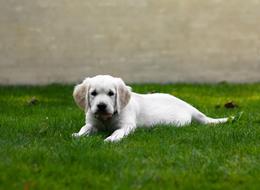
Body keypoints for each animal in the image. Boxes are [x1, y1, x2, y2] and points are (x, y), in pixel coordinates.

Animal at [71, 75, 230, 142]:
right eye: (93, 93)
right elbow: (85, 128)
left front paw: (112, 138)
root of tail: (188, 106)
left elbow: (118, 131)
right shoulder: (92, 123)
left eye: (111, 93)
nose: (101, 106)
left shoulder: (127, 125)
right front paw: (78, 135)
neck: (106, 118)